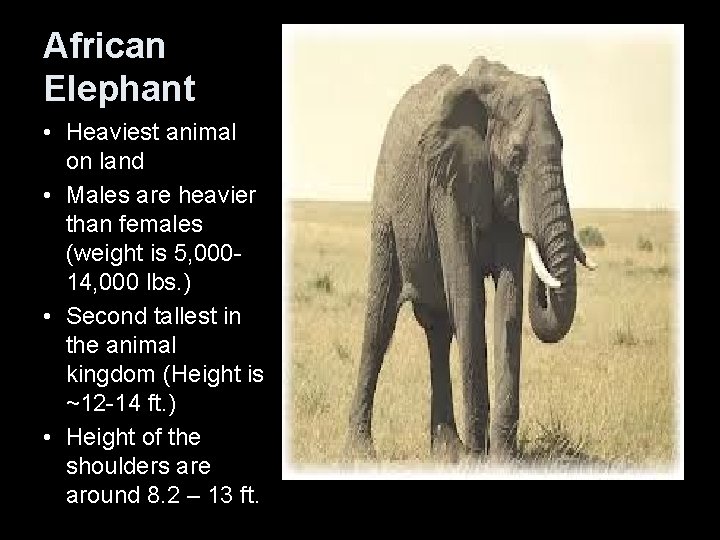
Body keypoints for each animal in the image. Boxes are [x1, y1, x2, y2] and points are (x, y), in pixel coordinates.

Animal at [346, 56, 597, 460]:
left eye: (562, 147)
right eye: (515, 156)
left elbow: (509, 299)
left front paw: (502, 459)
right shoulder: (446, 186)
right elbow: (468, 296)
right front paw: (479, 459)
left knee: (437, 330)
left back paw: (447, 450)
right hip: (385, 206)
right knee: (379, 322)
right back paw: (361, 453)